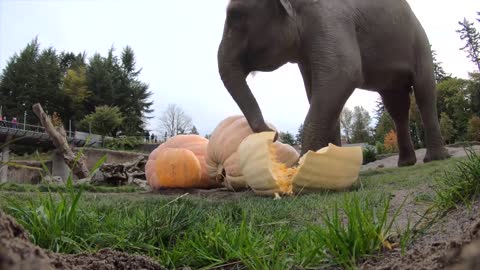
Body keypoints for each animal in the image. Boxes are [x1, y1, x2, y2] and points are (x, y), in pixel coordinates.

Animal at [218, 0, 450, 167]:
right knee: (396, 107)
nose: (274, 134)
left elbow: (342, 73)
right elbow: (317, 89)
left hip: (421, 43)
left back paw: (436, 159)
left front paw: (304, 169)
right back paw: (406, 163)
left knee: (424, 93)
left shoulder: (330, 18)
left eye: (237, 15)